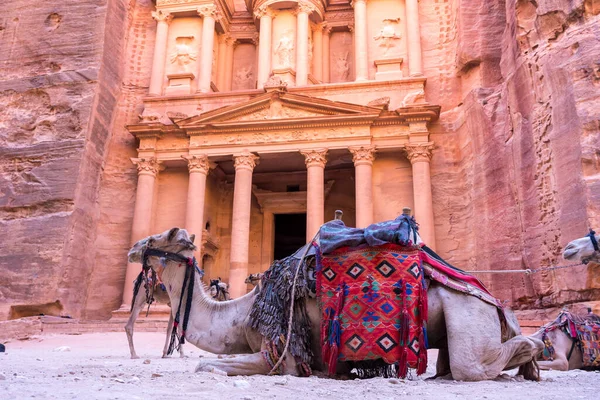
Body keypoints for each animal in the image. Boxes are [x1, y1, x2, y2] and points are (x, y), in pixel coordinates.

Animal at [129, 228, 540, 382]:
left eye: (159, 237)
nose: (133, 248)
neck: (241, 312)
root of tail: (494, 300)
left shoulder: (281, 354)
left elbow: (207, 364)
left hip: (467, 311)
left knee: (478, 364)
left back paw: (532, 357)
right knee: (454, 367)